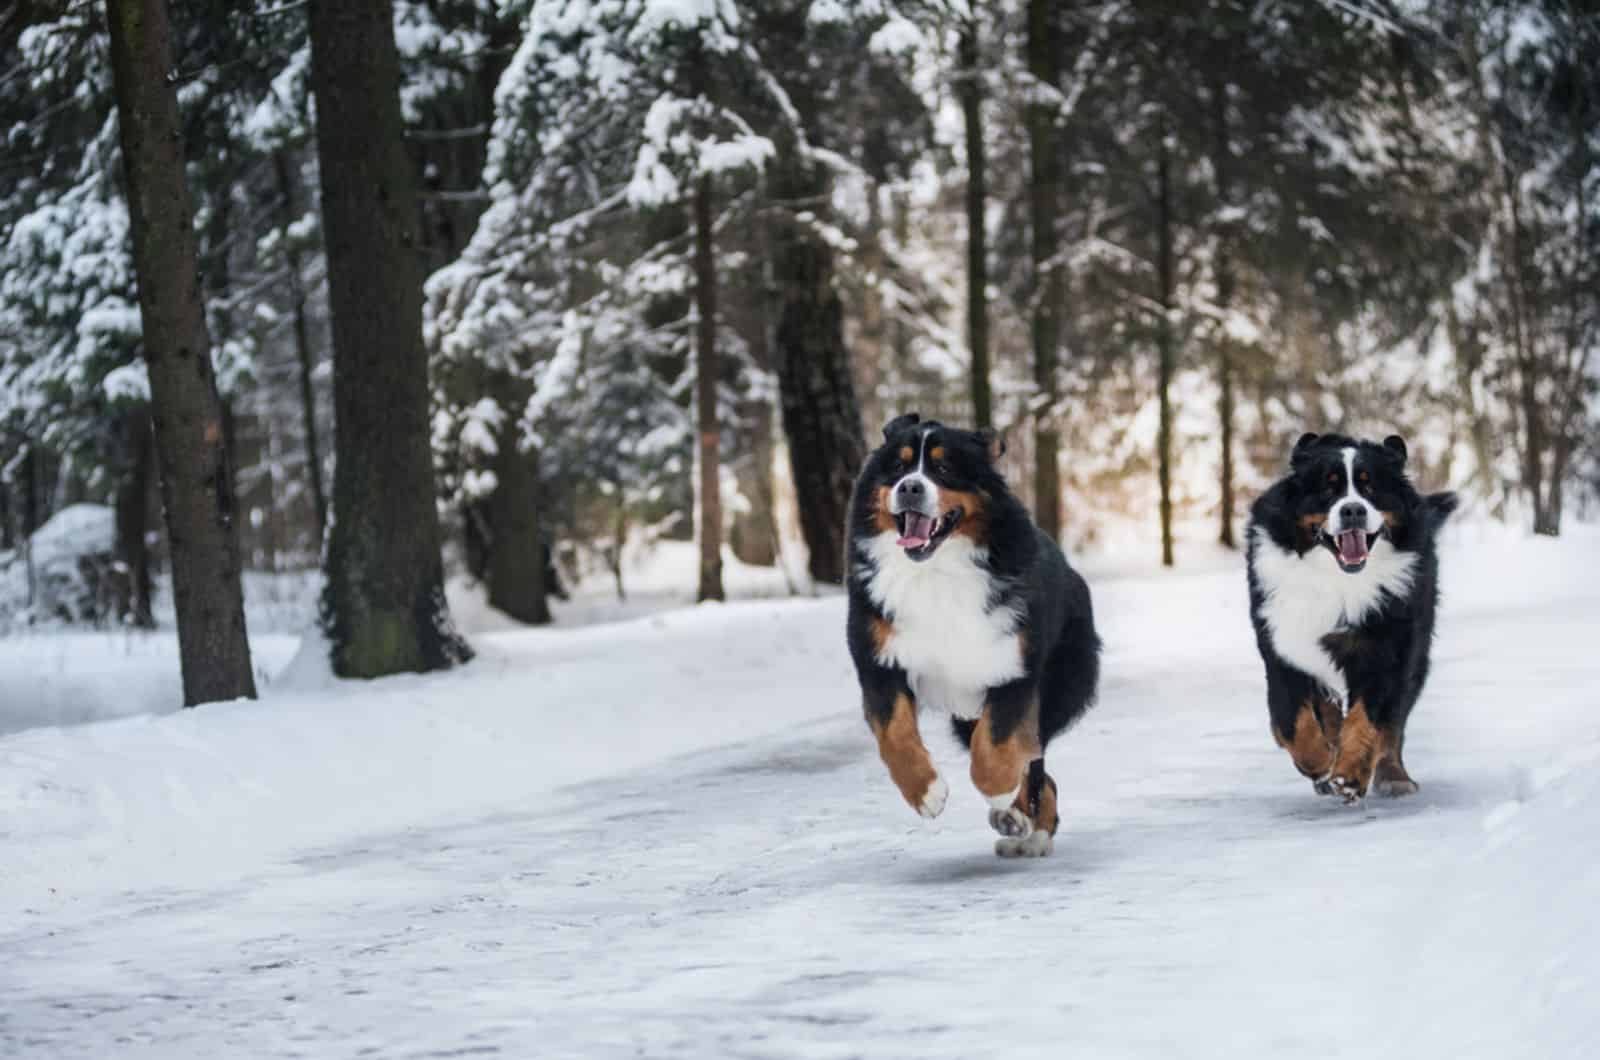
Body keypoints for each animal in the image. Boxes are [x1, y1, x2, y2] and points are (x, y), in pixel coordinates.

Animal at [838, 409, 1100, 858]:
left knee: (1035, 761)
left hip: (1059, 682)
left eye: (943, 469)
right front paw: (926, 792)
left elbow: (995, 746)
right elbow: (895, 735)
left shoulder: (1013, 664)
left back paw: (1030, 829)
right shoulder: (879, 660)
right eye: (898, 467)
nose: (910, 487)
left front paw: (998, 793)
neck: (936, 572)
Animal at [1248, 432, 1465, 807]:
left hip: (1416, 652)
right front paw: (1319, 762)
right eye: (1328, 487)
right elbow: (1291, 720)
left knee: (1393, 725)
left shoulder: (1384, 649)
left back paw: (1394, 778)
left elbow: (1367, 719)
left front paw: (1349, 774)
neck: (1336, 579)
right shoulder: (1282, 645)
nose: (1353, 509)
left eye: (1370, 487)